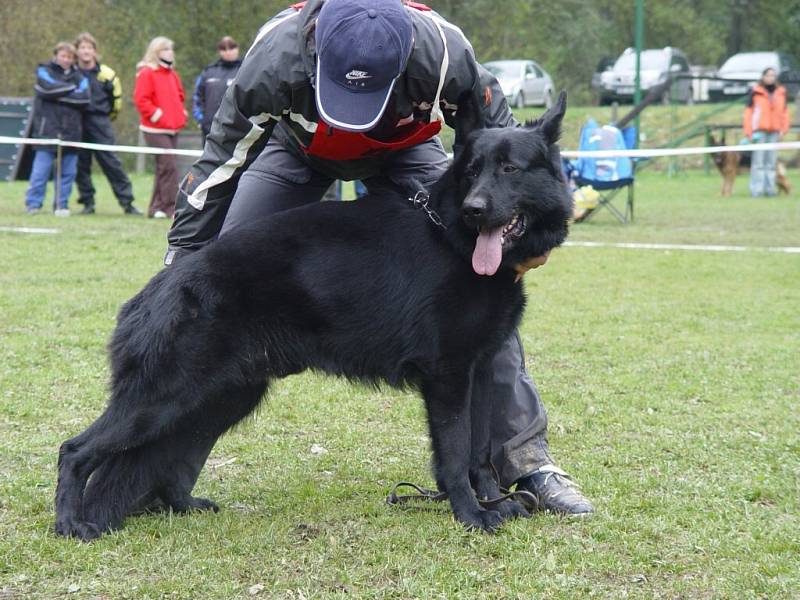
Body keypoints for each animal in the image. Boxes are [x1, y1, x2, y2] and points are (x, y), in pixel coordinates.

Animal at [53, 92, 572, 540]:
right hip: (164, 398)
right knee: (75, 450)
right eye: (470, 172)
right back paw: (70, 523)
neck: (452, 238)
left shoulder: (477, 372)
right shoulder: (446, 379)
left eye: (509, 169)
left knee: (168, 453)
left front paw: (492, 501)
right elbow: (455, 452)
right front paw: (468, 513)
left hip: (220, 397)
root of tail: (155, 291)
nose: (474, 209)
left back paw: (178, 504)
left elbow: (480, 451)